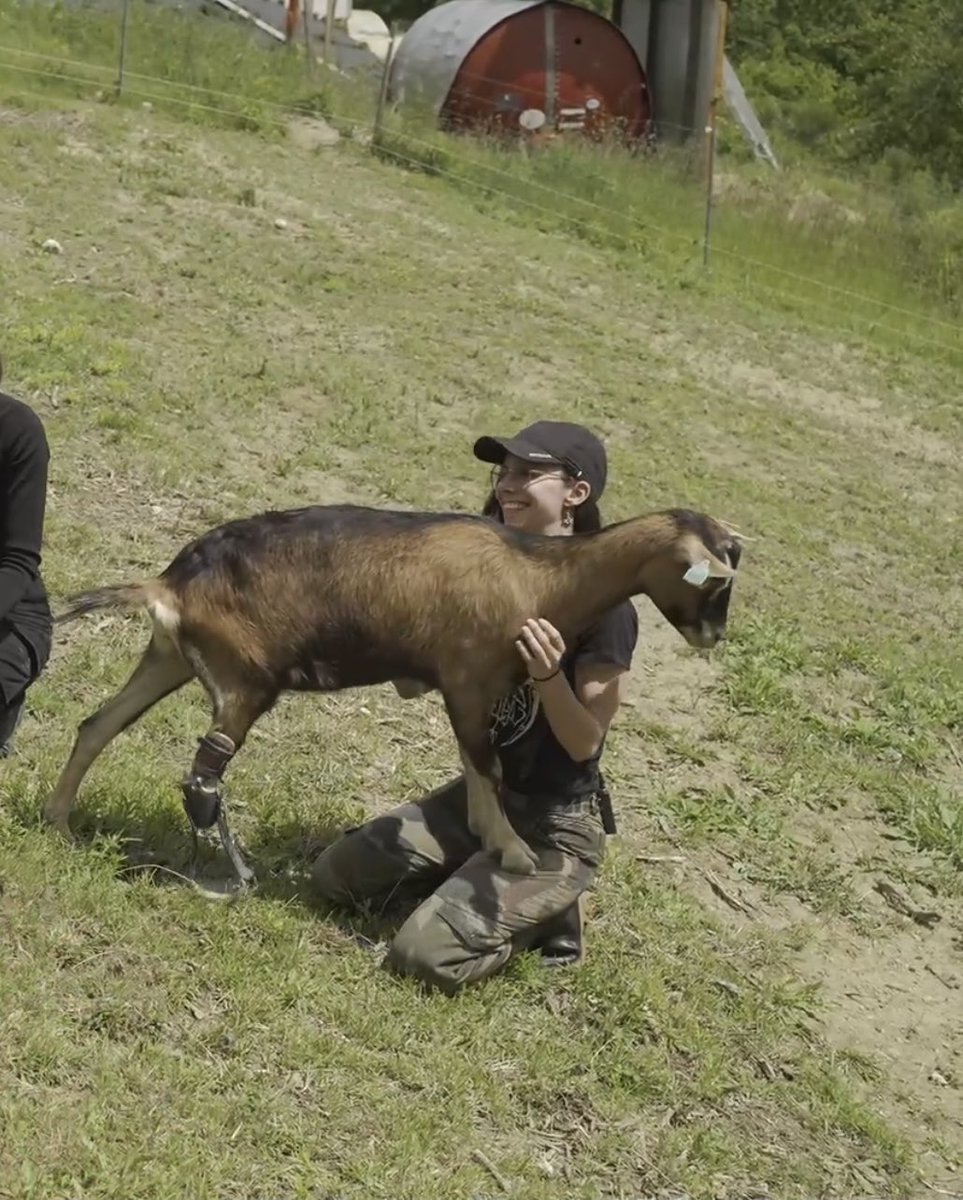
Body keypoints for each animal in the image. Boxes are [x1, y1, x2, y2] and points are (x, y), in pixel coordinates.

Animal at [41, 501, 744, 888]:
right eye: (713, 581)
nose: (713, 635)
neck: (539, 574)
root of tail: (170, 585)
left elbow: (477, 766)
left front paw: (489, 837)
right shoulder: (468, 683)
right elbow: (487, 768)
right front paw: (513, 852)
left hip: (170, 659)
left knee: (98, 725)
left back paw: (59, 823)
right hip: (246, 682)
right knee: (202, 771)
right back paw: (224, 876)